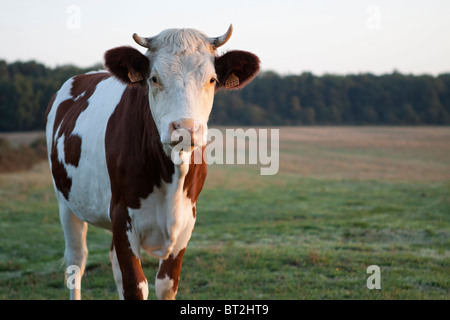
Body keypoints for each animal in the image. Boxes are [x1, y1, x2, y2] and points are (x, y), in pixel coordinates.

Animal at [45, 25, 260, 300]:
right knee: (76, 261)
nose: (185, 128)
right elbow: (135, 286)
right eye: (155, 78)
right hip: (66, 202)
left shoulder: (186, 222)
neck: (172, 175)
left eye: (212, 80)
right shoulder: (122, 216)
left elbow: (165, 285)